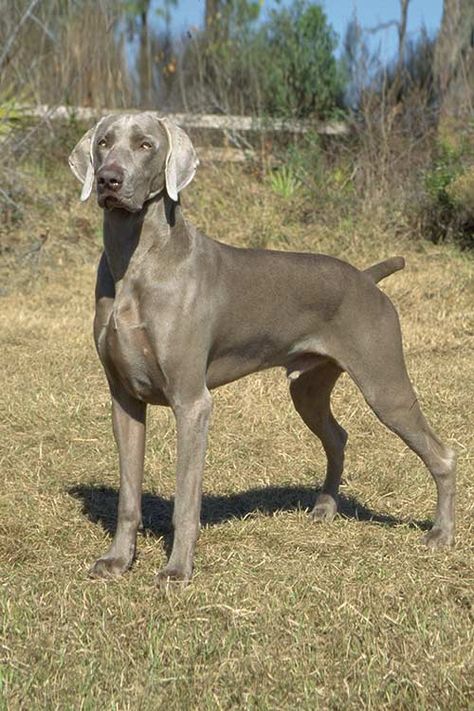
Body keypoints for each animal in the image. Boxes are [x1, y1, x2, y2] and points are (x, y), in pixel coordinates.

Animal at [67, 114, 456, 588]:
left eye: (145, 145)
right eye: (103, 143)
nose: (109, 179)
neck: (138, 261)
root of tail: (366, 277)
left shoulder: (191, 403)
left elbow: (186, 501)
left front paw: (177, 570)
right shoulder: (124, 399)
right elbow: (127, 496)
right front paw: (118, 561)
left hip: (385, 385)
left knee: (441, 454)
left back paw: (440, 533)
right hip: (308, 387)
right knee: (337, 436)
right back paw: (324, 508)